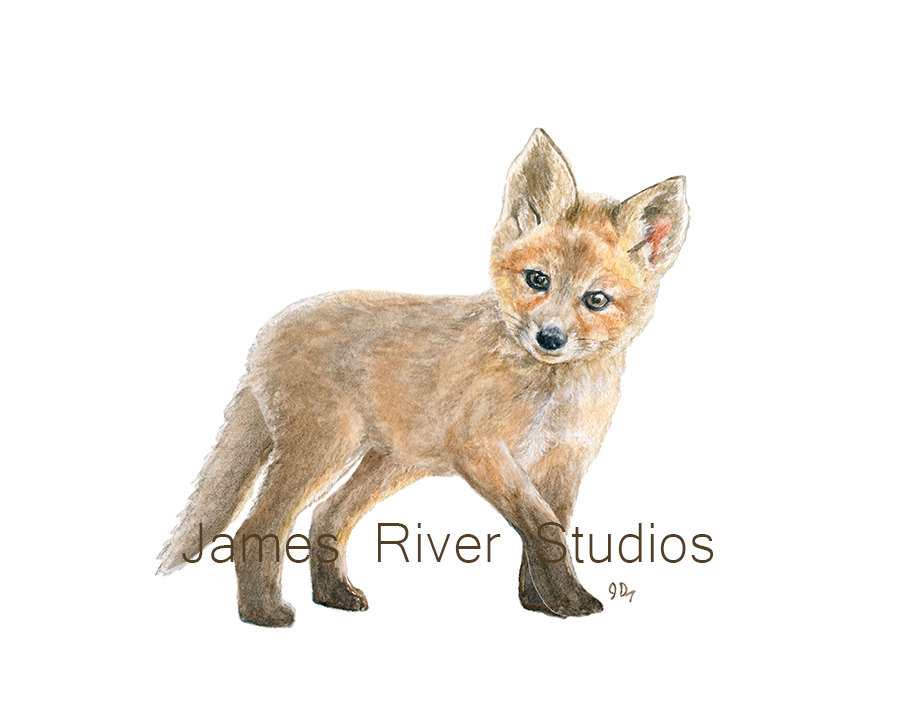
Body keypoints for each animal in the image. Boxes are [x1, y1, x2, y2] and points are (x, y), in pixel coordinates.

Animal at [158, 128, 689, 626]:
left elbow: (547, 532)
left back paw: (333, 595)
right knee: (257, 527)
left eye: (596, 299)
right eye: (538, 280)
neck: (553, 396)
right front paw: (568, 601)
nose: (550, 338)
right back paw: (264, 614)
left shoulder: (564, 463)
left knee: (326, 517)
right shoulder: (481, 450)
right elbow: (543, 529)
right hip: (325, 450)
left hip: (388, 464)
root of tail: (266, 332)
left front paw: (540, 603)